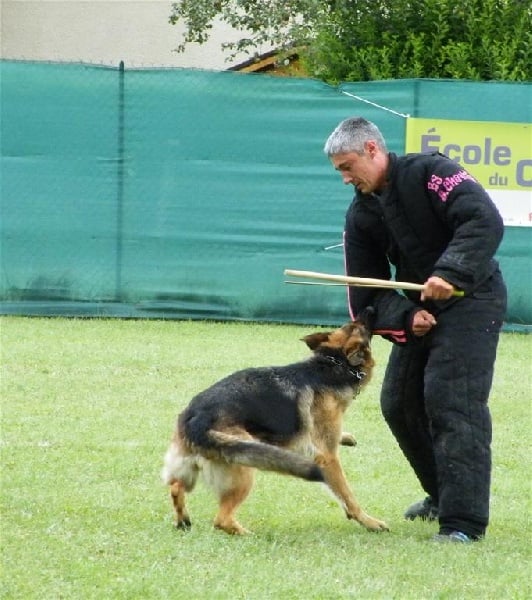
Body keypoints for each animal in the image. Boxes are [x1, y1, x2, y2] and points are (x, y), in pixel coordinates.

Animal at [160, 314, 388, 536]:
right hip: (244, 466)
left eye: (352, 323)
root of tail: (195, 421)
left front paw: (346, 437)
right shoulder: (328, 458)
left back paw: (183, 520)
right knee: (221, 519)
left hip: (189, 468)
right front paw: (369, 521)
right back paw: (247, 534)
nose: (368, 309)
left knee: (176, 487)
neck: (331, 364)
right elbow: (347, 495)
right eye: (360, 327)